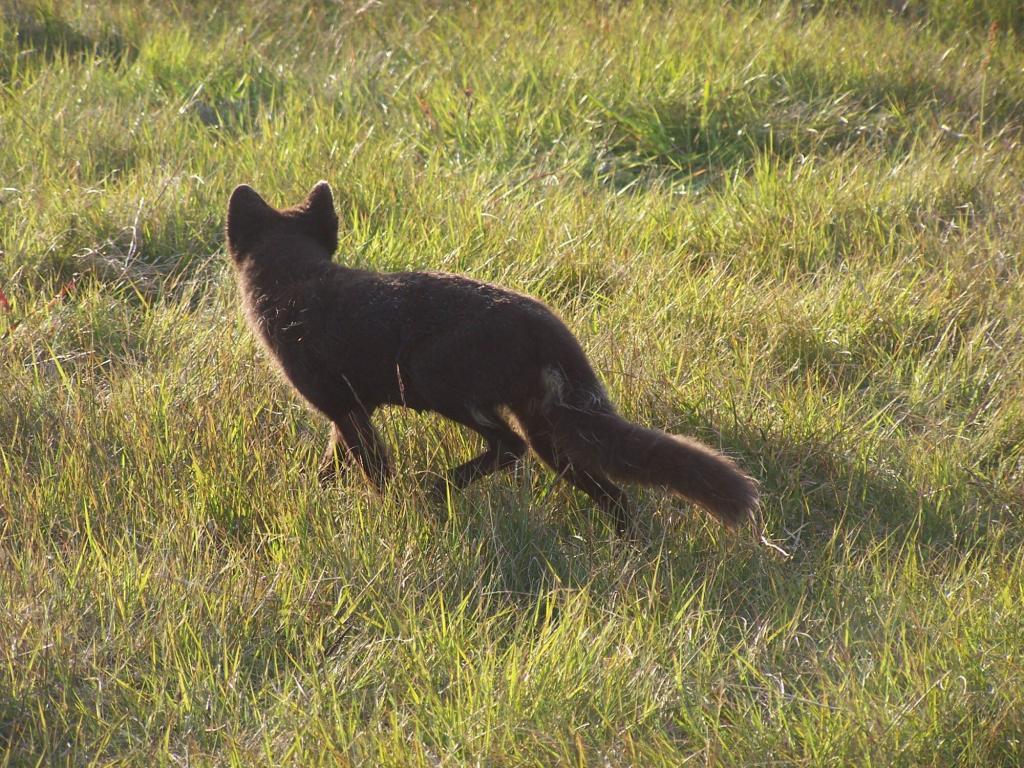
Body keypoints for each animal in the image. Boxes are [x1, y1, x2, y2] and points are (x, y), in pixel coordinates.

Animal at [228, 181, 757, 536]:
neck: (297, 286)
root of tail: (546, 325)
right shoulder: (353, 411)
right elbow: (330, 465)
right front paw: (315, 498)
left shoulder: (344, 407)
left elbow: (374, 473)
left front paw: (391, 514)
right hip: (552, 437)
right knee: (614, 493)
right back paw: (628, 547)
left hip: (438, 383)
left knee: (509, 447)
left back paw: (439, 487)